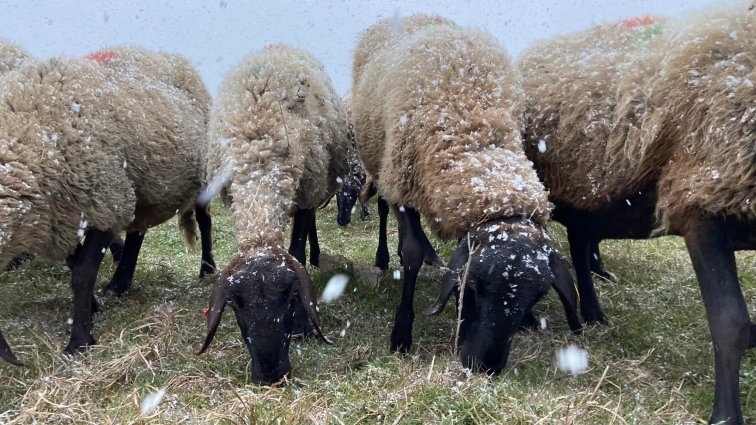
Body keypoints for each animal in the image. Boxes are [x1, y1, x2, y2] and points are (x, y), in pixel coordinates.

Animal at [0, 47, 211, 364]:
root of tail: (169, 56)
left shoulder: (103, 205)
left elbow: (82, 273)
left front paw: (79, 341)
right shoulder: (59, 219)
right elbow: (74, 264)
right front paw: (93, 308)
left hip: (200, 173)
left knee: (204, 220)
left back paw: (208, 270)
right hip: (142, 186)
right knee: (137, 232)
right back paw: (119, 283)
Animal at [195, 43, 348, 384]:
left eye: (290, 298)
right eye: (236, 306)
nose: (271, 375)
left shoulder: (306, 191)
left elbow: (297, 249)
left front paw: (304, 326)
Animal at [350, 18, 580, 372]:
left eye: (537, 295)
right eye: (473, 284)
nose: (483, 366)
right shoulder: (403, 182)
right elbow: (412, 252)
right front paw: (401, 334)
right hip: (381, 165)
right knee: (385, 209)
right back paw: (385, 257)